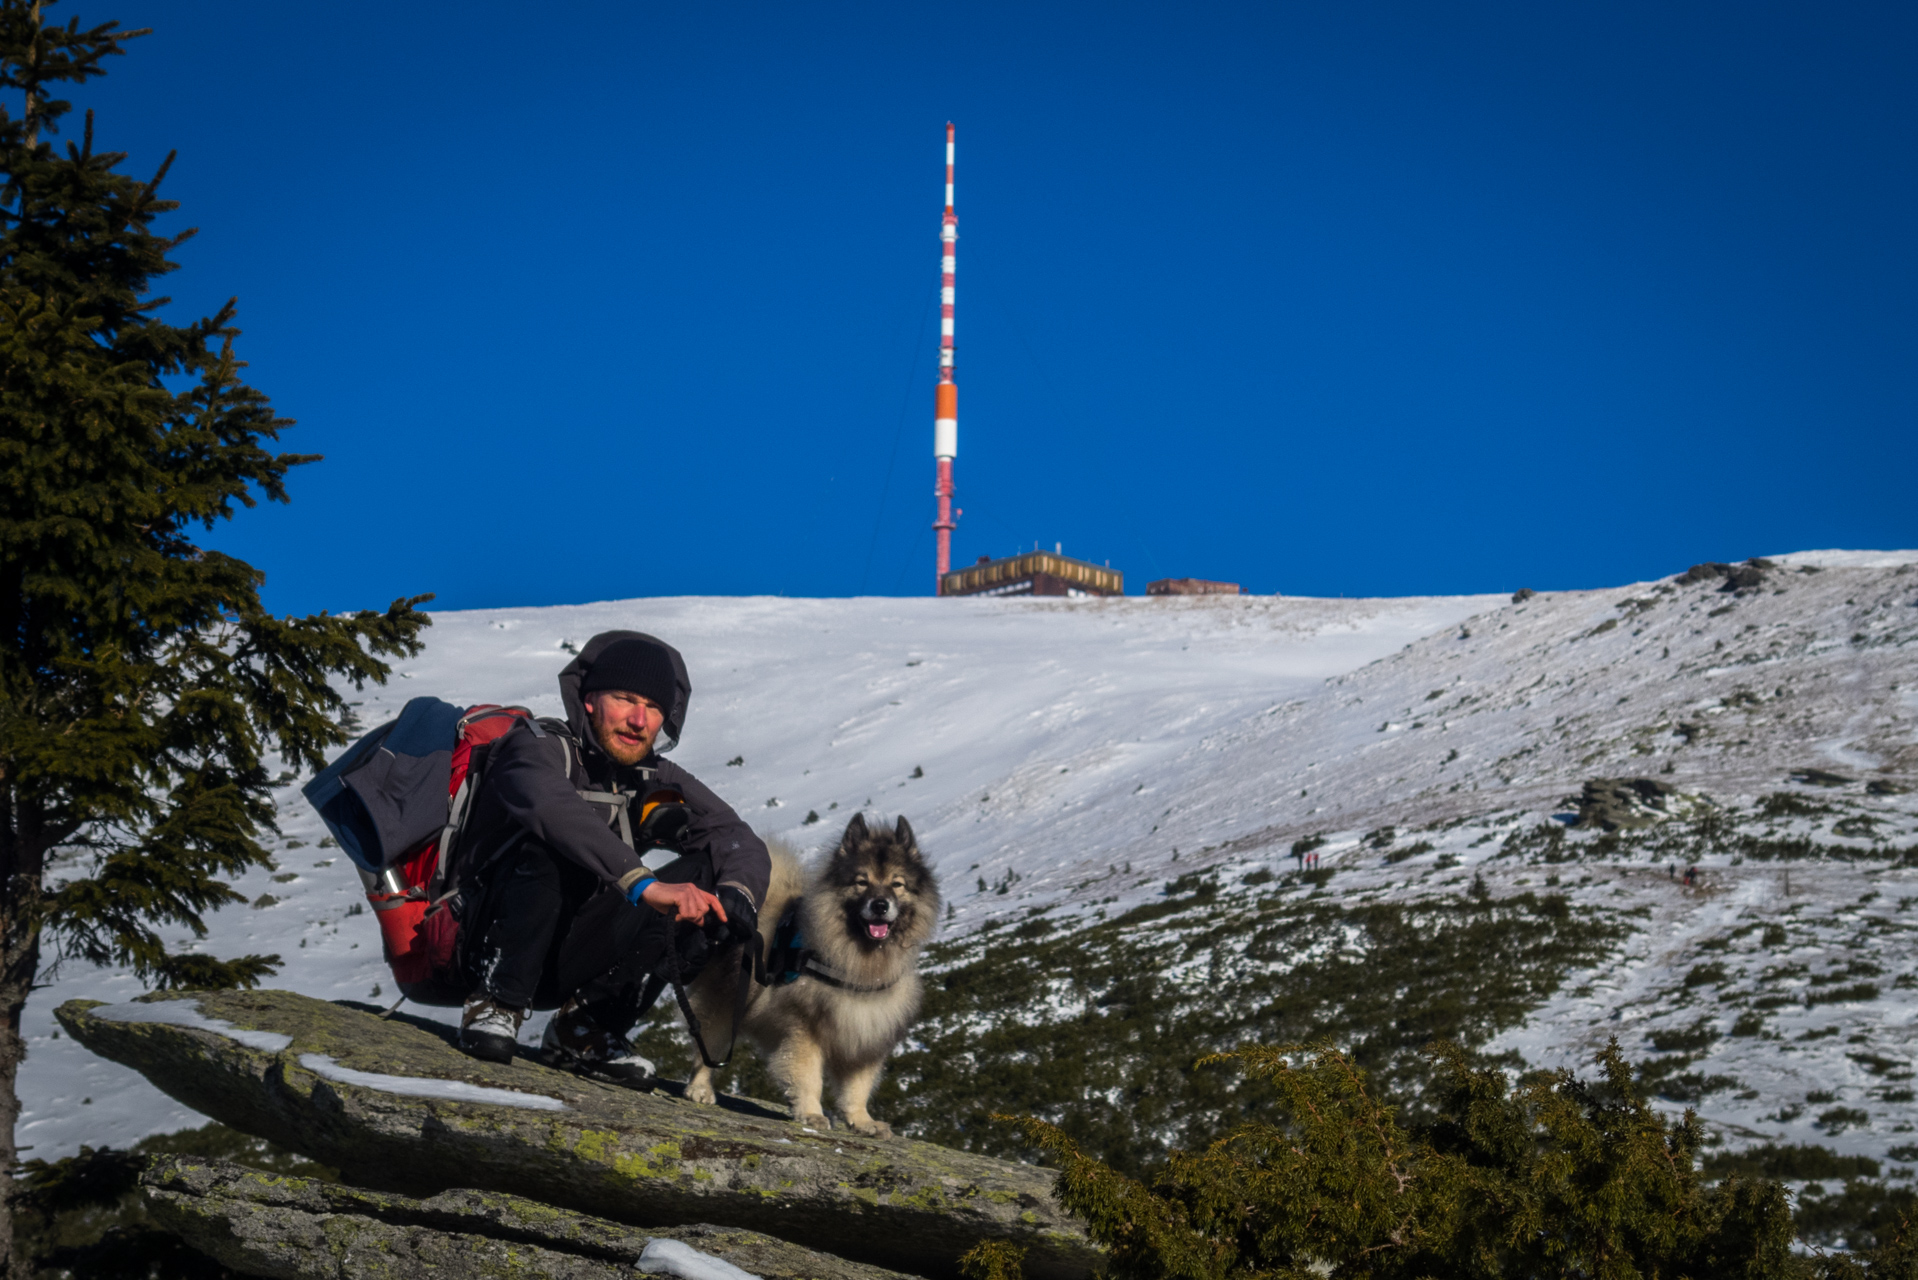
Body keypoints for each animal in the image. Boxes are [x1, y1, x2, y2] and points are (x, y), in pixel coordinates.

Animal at [686, 817, 939, 1136]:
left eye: (897, 884)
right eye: (862, 882)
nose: (880, 905)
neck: (860, 964)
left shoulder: (868, 1031)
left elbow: (858, 1086)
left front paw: (861, 1120)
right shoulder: (804, 1028)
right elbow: (809, 1077)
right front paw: (811, 1113)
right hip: (725, 1003)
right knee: (708, 1048)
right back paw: (700, 1089)